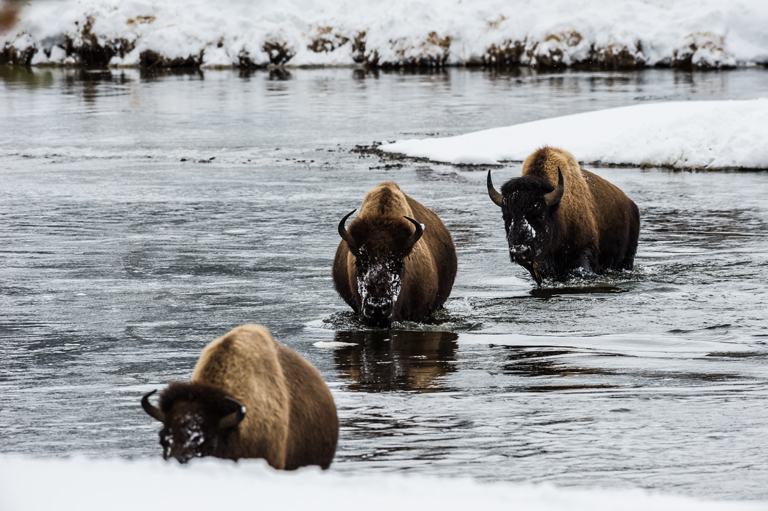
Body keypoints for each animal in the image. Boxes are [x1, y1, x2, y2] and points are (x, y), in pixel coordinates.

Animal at [486, 146, 640, 286]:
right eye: (506, 217)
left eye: (541, 215)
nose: (519, 252)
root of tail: (631, 205)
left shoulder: (584, 251)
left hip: (626, 259)